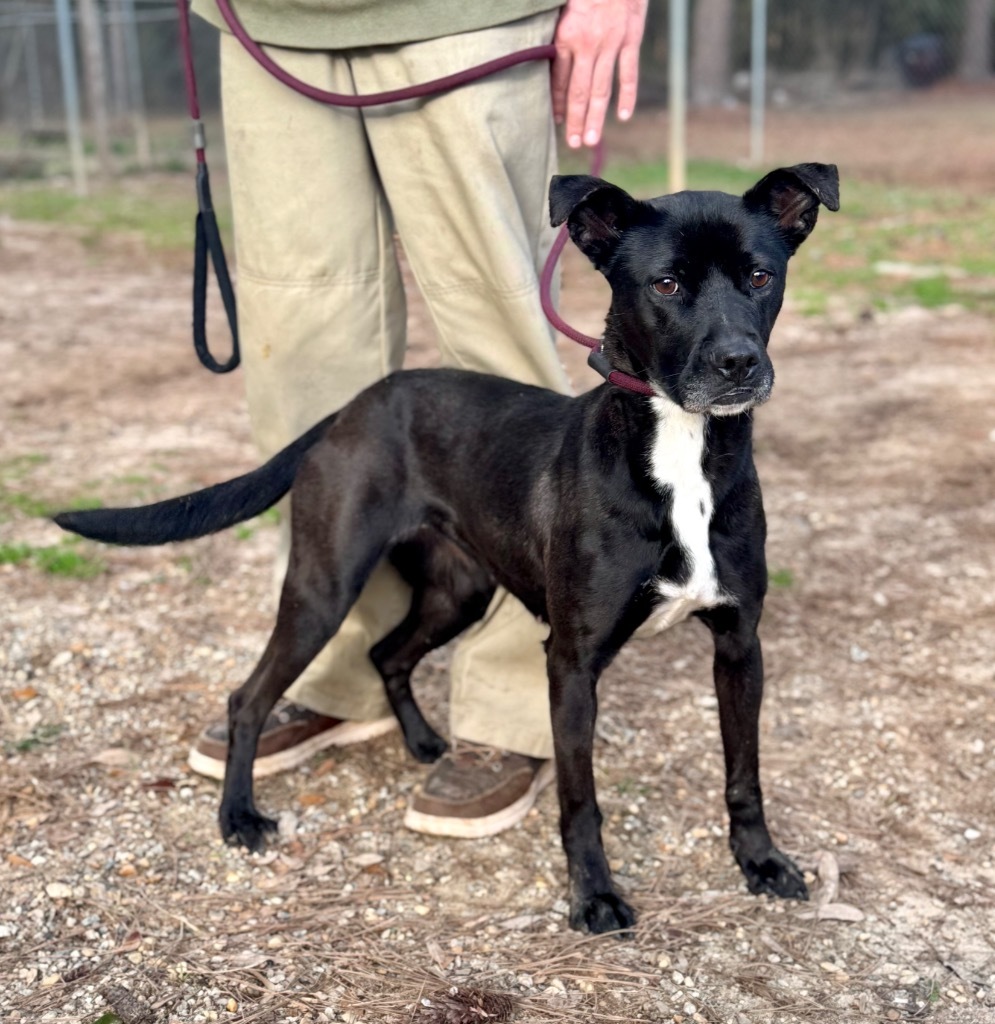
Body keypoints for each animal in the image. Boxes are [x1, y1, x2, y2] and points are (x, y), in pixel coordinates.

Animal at [56, 161, 839, 937]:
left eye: (761, 276)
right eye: (667, 285)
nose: (738, 363)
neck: (680, 448)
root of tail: (349, 409)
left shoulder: (739, 644)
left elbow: (744, 774)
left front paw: (760, 861)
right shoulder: (572, 661)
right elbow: (579, 799)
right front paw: (593, 895)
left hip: (457, 591)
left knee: (385, 654)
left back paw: (425, 745)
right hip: (323, 587)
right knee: (249, 695)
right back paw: (239, 815)